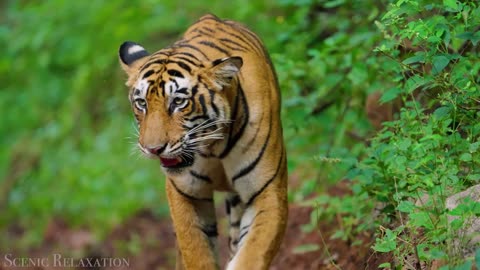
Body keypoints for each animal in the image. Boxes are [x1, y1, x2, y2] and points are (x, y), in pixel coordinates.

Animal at [118, 13, 286, 268]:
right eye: (141, 103)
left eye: (178, 102)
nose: (153, 149)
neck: (214, 148)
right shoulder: (186, 194)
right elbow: (196, 250)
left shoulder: (267, 190)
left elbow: (253, 253)